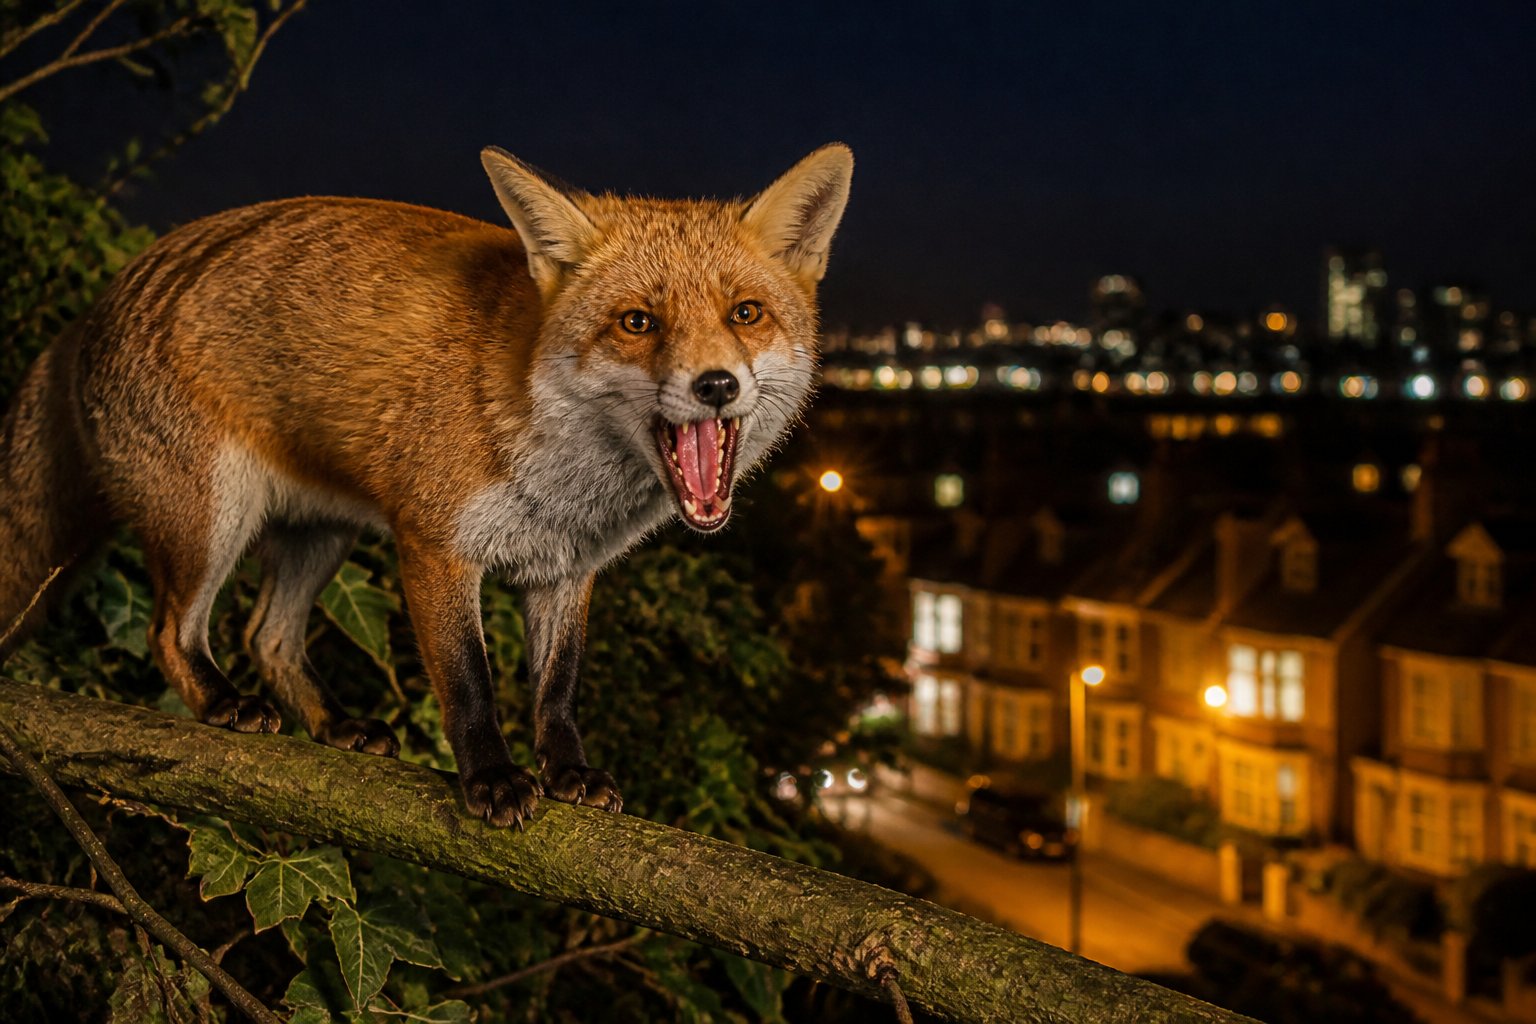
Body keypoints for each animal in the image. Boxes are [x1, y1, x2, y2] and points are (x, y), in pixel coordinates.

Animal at [0, 143, 853, 827]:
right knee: (172, 631)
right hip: (211, 520)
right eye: (638, 322)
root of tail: (97, 304)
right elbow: (470, 684)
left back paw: (334, 724)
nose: (716, 385)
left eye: (746, 313)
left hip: (321, 536)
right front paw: (493, 780)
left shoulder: (565, 570)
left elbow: (558, 689)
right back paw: (221, 702)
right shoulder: (435, 546)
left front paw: (568, 770)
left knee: (267, 636)